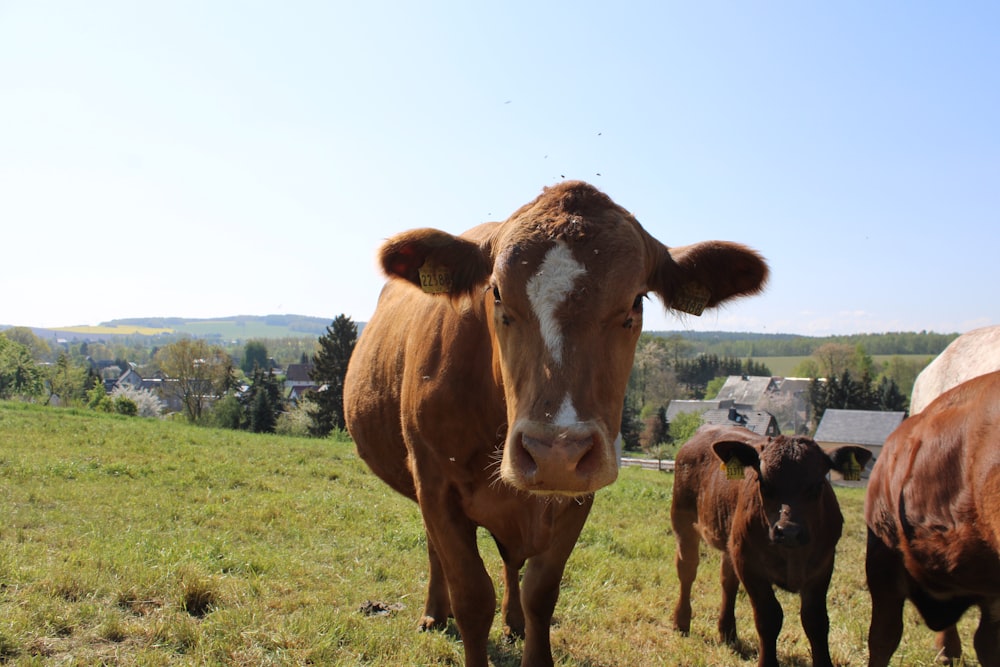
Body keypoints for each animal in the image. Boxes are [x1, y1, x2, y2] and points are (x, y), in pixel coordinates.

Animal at [672, 428, 876, 667]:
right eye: (764, 482)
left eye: (818, 485)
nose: (788, 531)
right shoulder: (748, 562)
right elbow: (769, 616)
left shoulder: (823, 565)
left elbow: (815, 620)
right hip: (683, 522)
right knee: (687, 571)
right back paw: (682, 622)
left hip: (730, 541)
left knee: (728, 582)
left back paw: (728, 633)